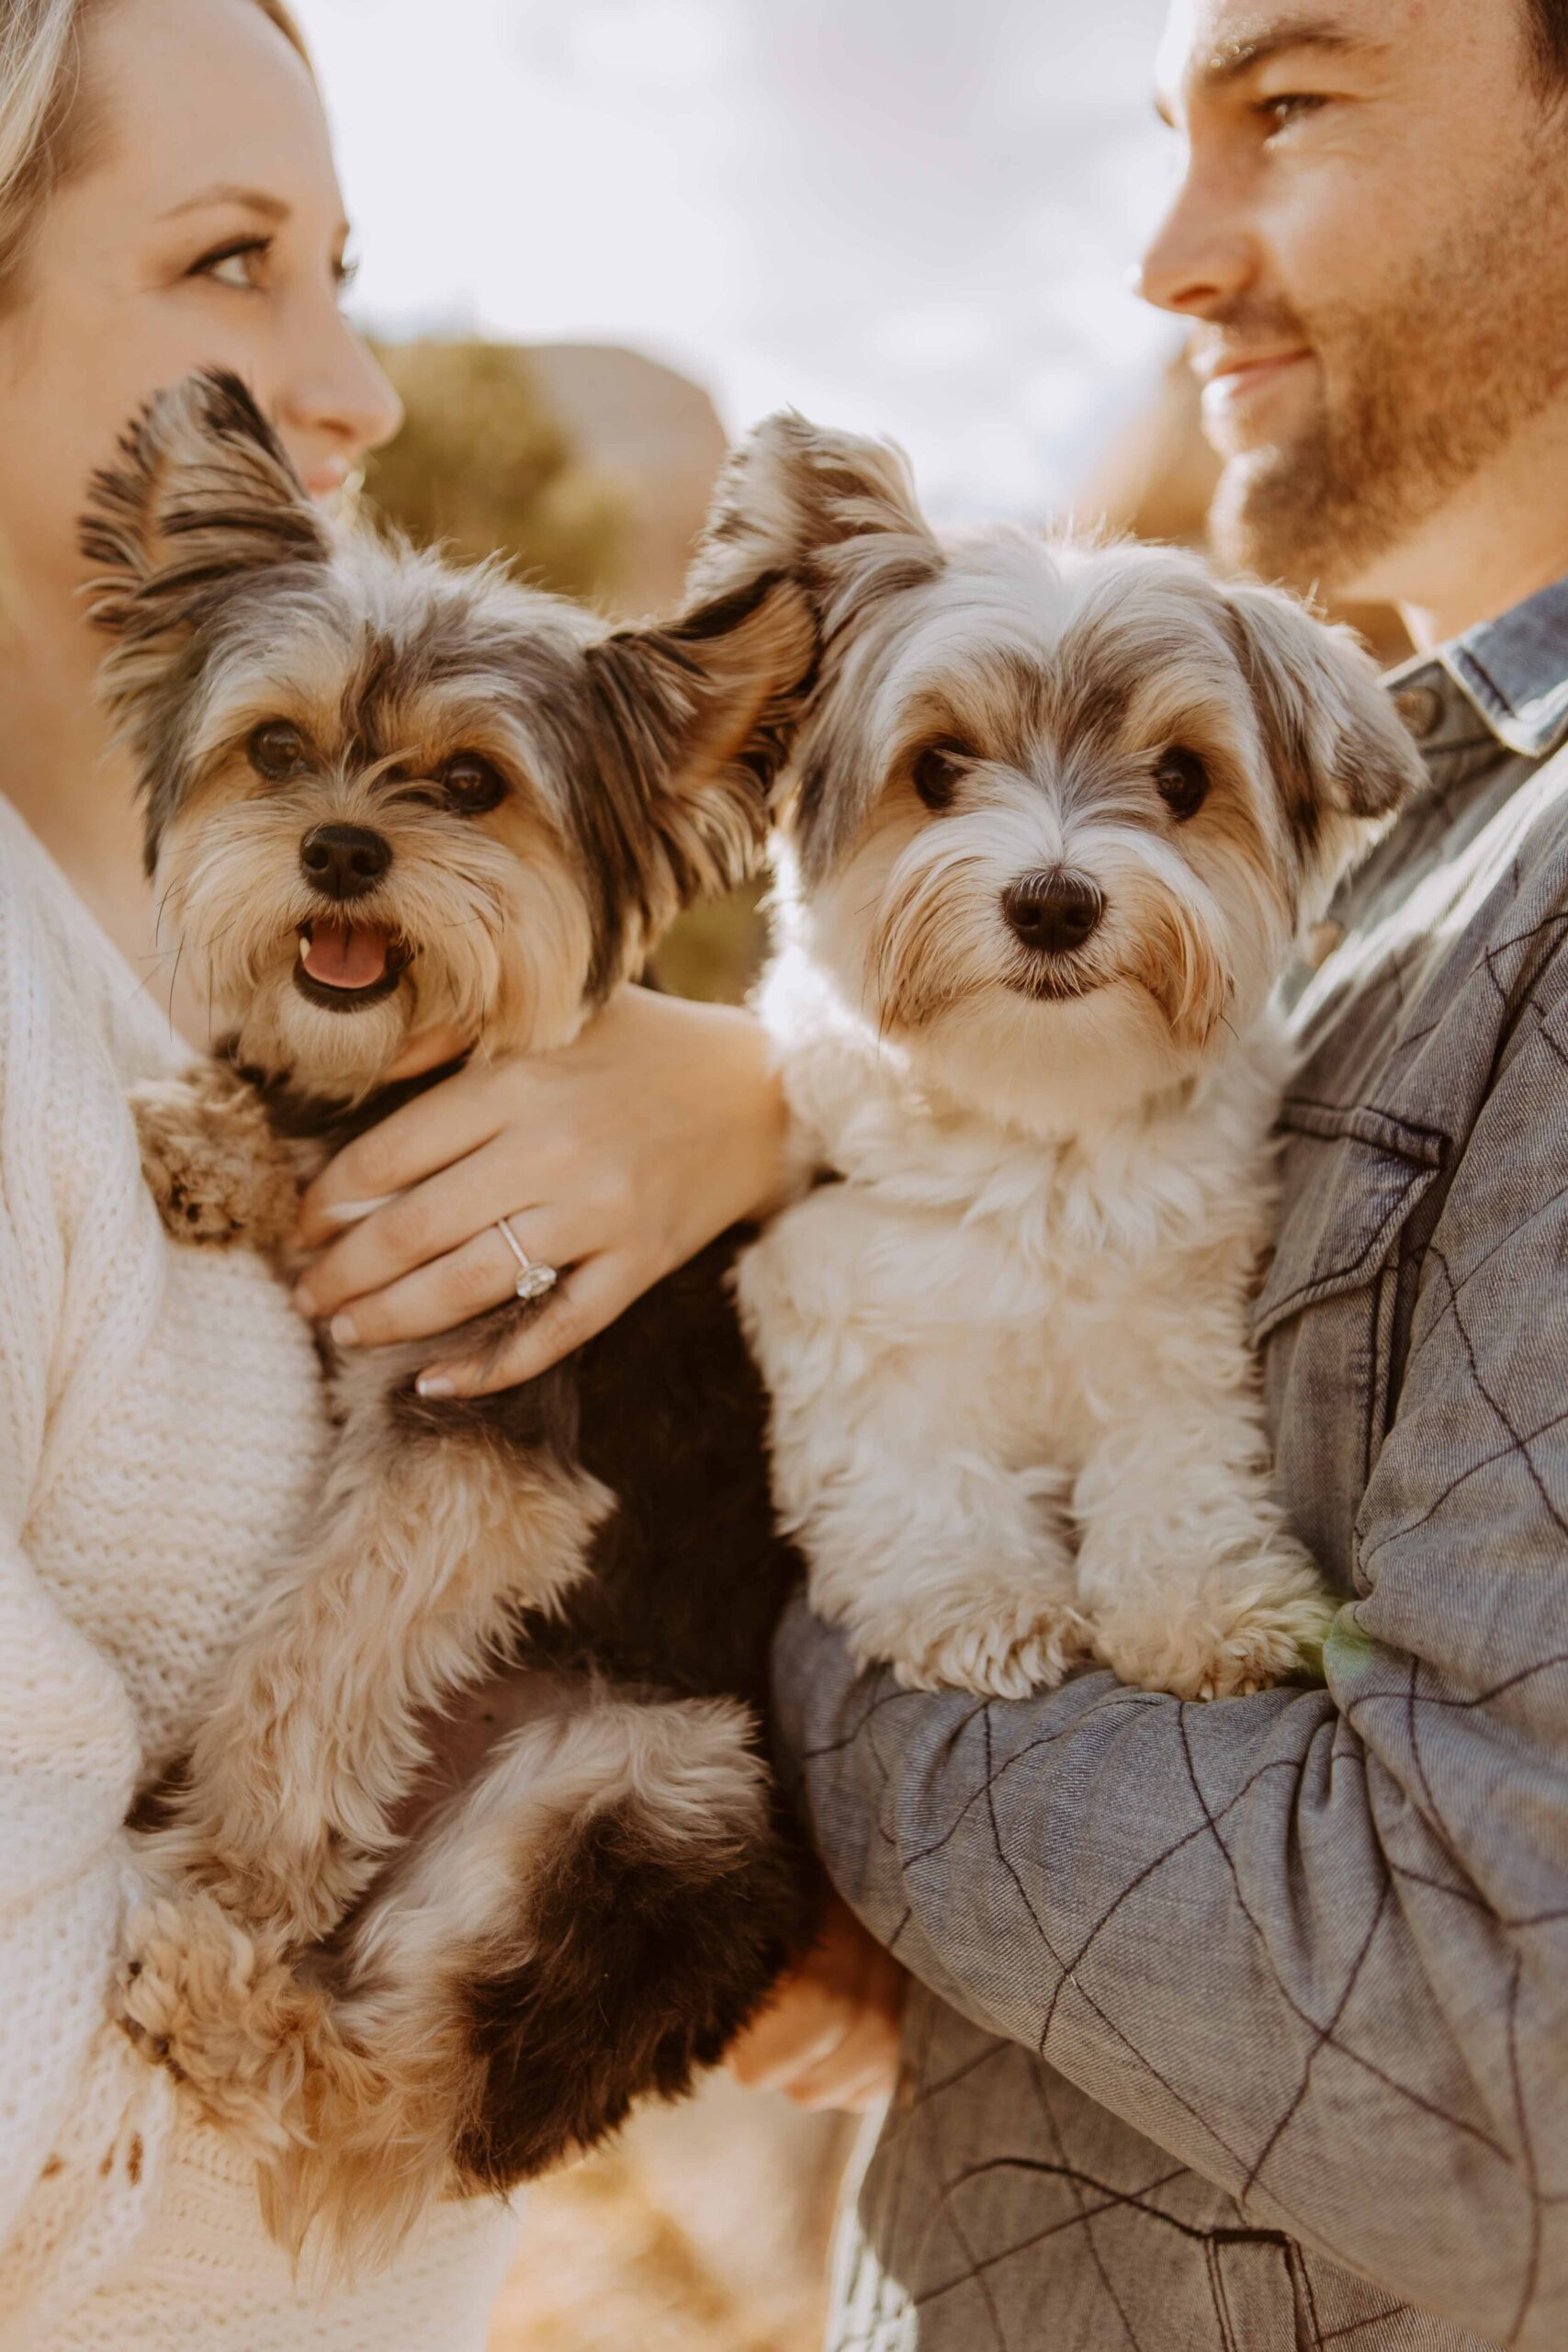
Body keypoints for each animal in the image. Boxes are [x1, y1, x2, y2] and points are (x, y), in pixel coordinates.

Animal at [700, 423, 1419, 1702]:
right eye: (938, 768)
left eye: (1182, 779)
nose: (1052, 901)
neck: (1038, 1120)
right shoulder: (852, 1298)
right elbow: (916, 1469)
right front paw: (975, 1594)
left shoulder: (1174, 1323)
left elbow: (1176, 1465)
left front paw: (1205, 1601)